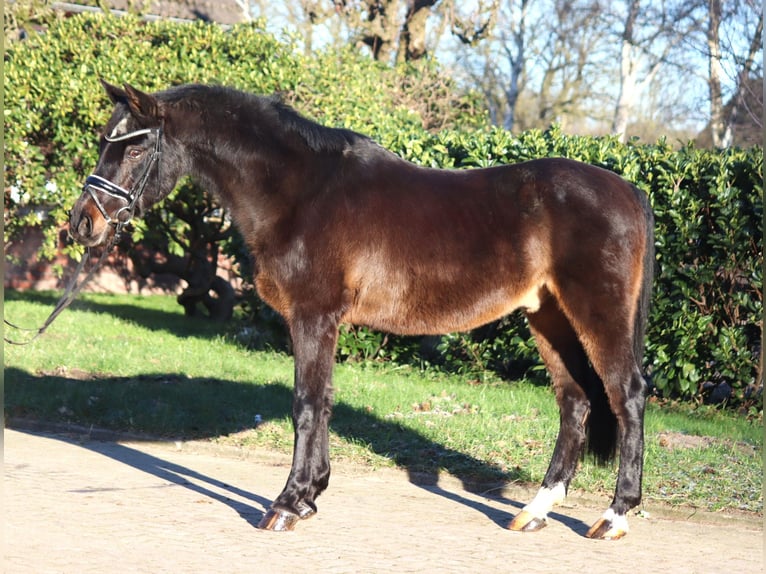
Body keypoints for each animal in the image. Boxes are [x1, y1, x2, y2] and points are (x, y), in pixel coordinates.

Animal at [70, 83, 656, 544]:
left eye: (134, 148)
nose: (83, 223)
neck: (299, 192)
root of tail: (628, 188)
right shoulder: (322, 323)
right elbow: (324, 403)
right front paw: (310, 495)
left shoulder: (312, 317)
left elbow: (307, 405)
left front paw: (287, 505)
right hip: (548, 317)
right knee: (576, 402)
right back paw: (535, 511)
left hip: (595, 314)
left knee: (626, 395)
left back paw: (614, 517)